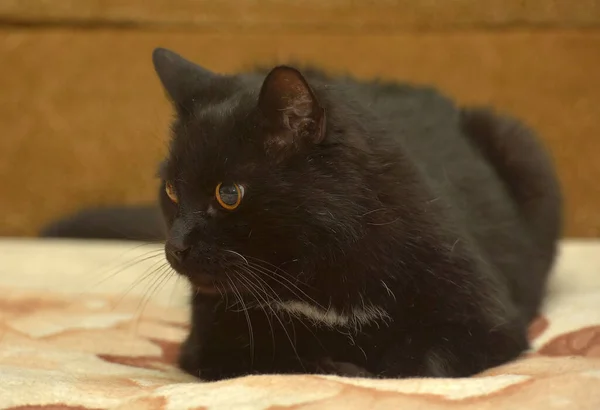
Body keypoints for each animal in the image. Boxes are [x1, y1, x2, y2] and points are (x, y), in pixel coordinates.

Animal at [43, 48, 564, 382]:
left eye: (228, 193)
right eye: (171, 190)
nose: (176, 247)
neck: (309, 275)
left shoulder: (488, 321)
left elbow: (418, 363)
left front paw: (368, 368)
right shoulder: (209, 342)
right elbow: (275, 358)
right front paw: (340, 365)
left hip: (522, 146)